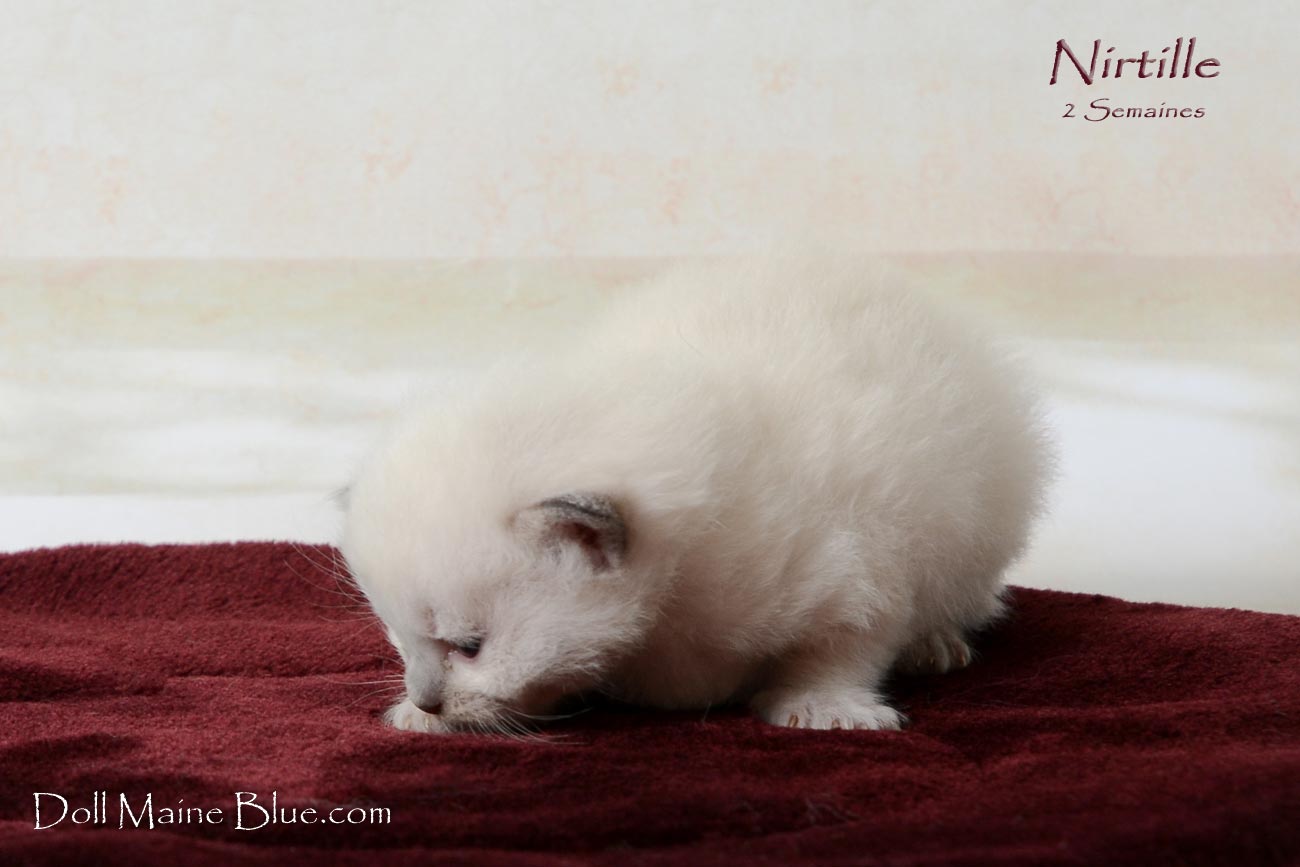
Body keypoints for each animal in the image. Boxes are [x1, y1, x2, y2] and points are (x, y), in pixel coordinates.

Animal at [339, 259, 1053, 734]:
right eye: (398, 636)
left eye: (469, 646)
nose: (427, 700)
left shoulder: (854, 565)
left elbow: (843, 647)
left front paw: (824, 708)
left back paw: (936, 643)